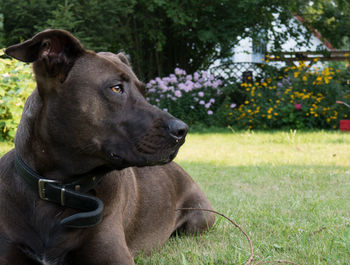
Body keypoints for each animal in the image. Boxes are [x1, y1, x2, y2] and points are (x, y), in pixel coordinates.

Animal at [0, 29, 215, 262]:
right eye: (116, 88)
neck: (59, 187)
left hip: (200, 218)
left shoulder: (113, 256)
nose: (182, 131)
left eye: (144, 92)